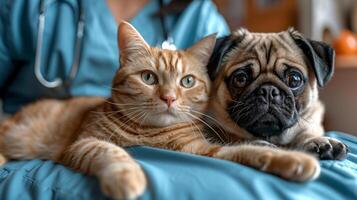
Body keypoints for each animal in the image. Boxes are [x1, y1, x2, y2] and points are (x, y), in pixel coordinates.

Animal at [0, 22, 318, 200]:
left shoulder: (201, 149)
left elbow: (247, 151)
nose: (168, 98)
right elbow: (112, 152)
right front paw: (128, 178)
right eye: (148, 78)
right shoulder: (84, 143)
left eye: (187, 81)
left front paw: (291, 160)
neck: (152, 133)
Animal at [206, 28, 348, 180]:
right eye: (240, 79)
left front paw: (318, 140)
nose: (268, 90)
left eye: (294, 79)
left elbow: (305, 133)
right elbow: (229, 137)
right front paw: (257, 145)